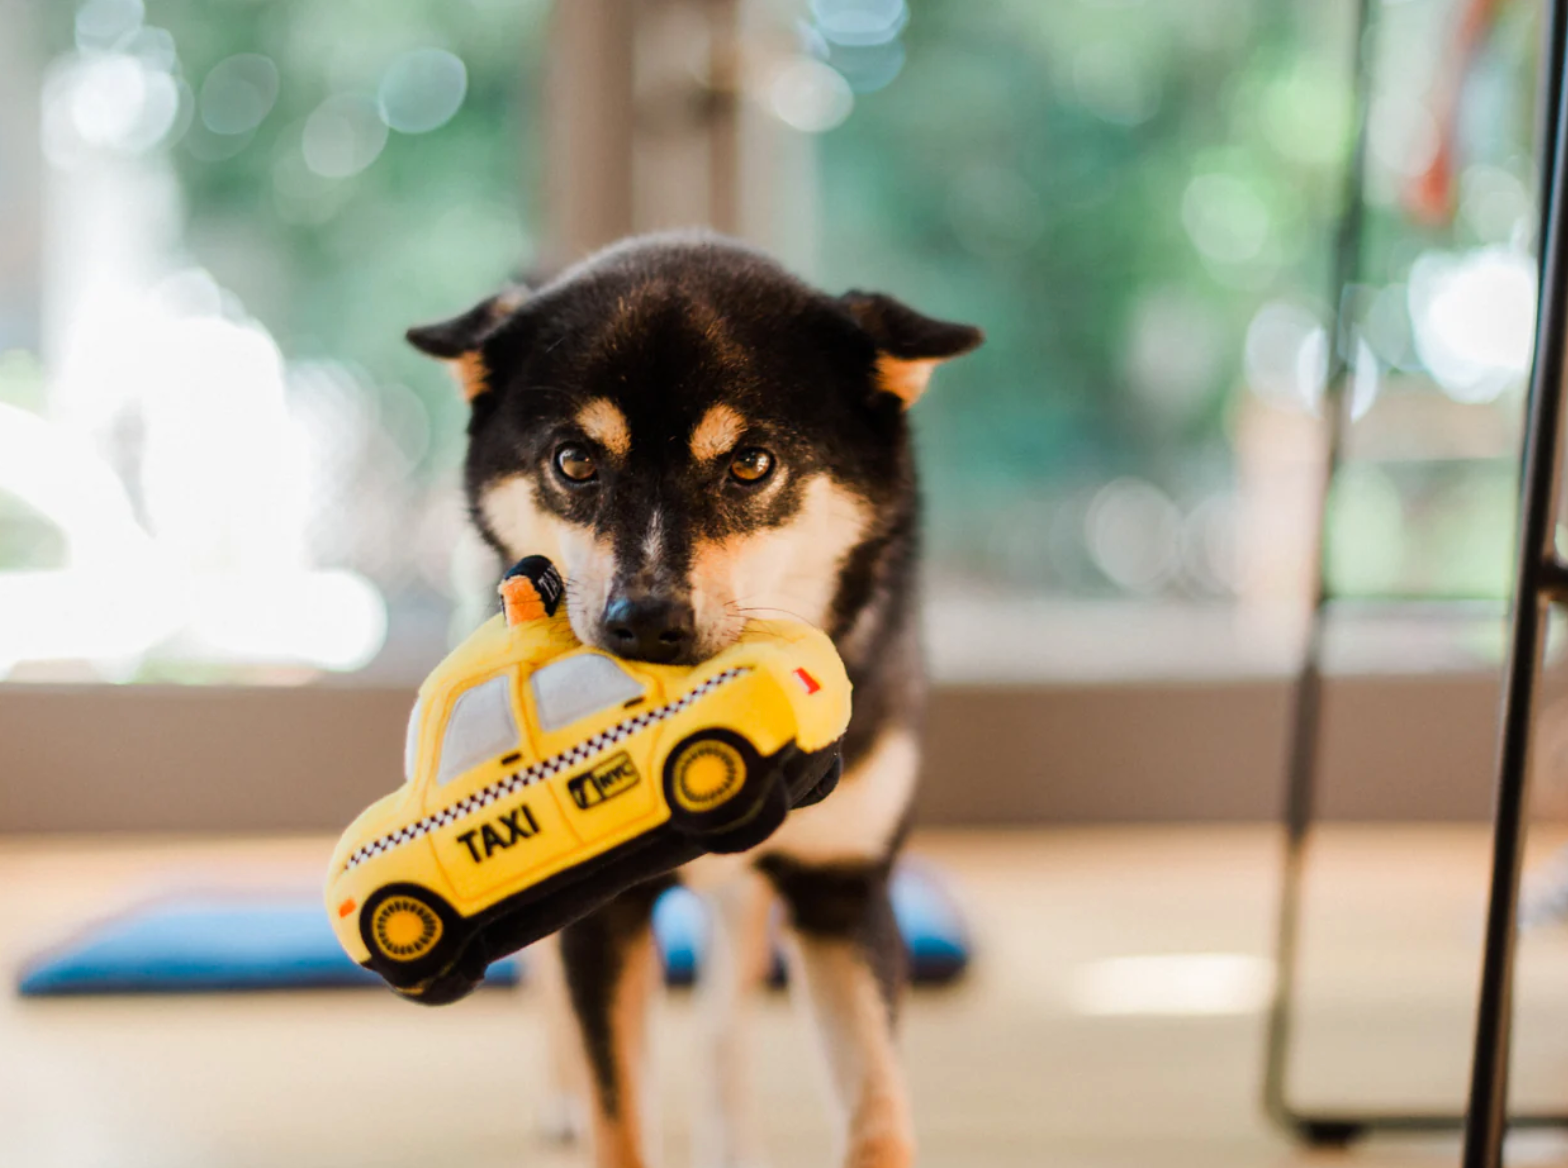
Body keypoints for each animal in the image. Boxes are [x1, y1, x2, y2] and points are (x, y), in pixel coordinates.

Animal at [404, 232, 978, 1166]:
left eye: (750, 463)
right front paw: (592, 1102)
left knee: (723, 1021)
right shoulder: (603, 910)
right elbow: (619, 1109)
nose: (645, 621)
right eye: (573, 461)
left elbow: (877, 1110)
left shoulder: (842, 888)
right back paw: (560, 1095)